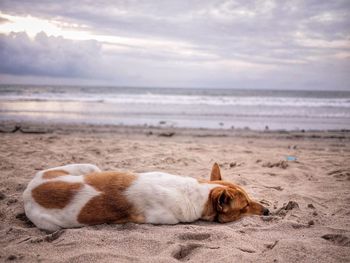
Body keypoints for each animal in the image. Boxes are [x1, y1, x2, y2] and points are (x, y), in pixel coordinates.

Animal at [23, 163, 270, 231]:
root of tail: (28, 191)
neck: (196, 192)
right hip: (50, 225)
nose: (268, 211)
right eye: (244, 206)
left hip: (89, 167)